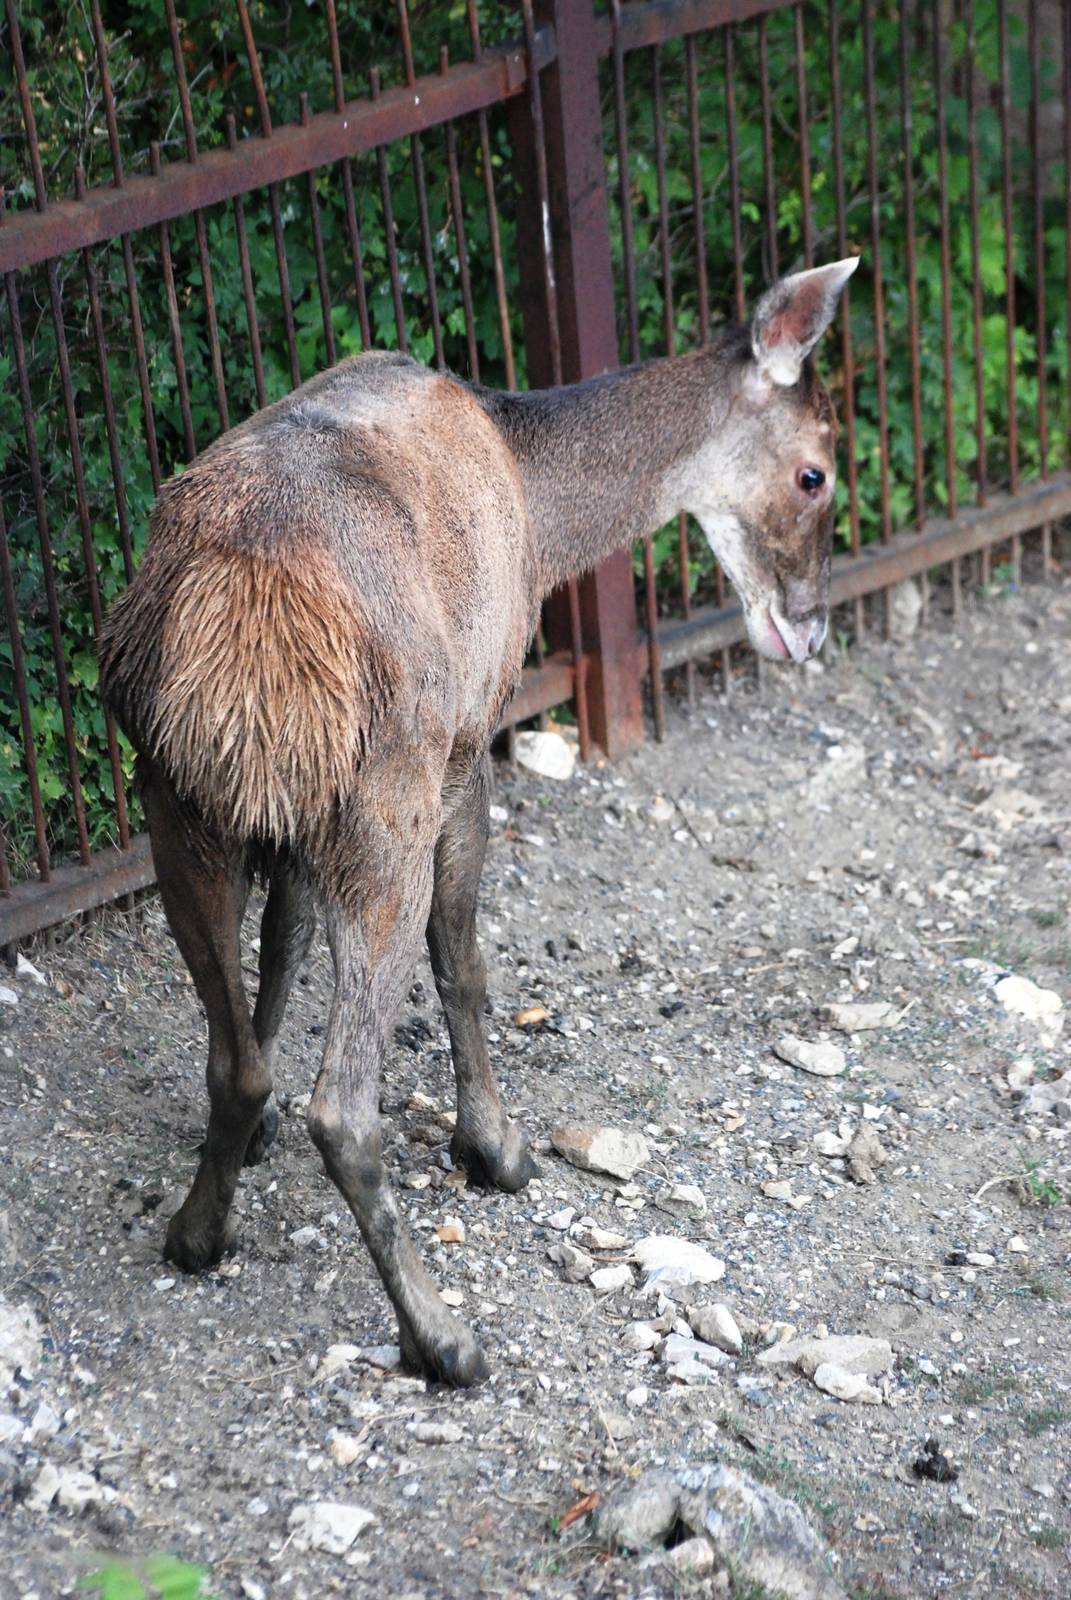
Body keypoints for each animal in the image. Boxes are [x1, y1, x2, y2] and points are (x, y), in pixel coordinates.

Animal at [100, 256, 857, 1386]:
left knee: (233, 1056)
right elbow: (464, 960)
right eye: (816, 473)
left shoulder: (284, 822)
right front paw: (494, 1148)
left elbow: (280, 949)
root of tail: (242, 628)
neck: (538, 507)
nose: (808, 631)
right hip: (391, 787)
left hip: (175, 794)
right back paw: (443, 1336)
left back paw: (197, 1230)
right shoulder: (475, 734)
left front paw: (247, 1152)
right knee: (347, 1101)